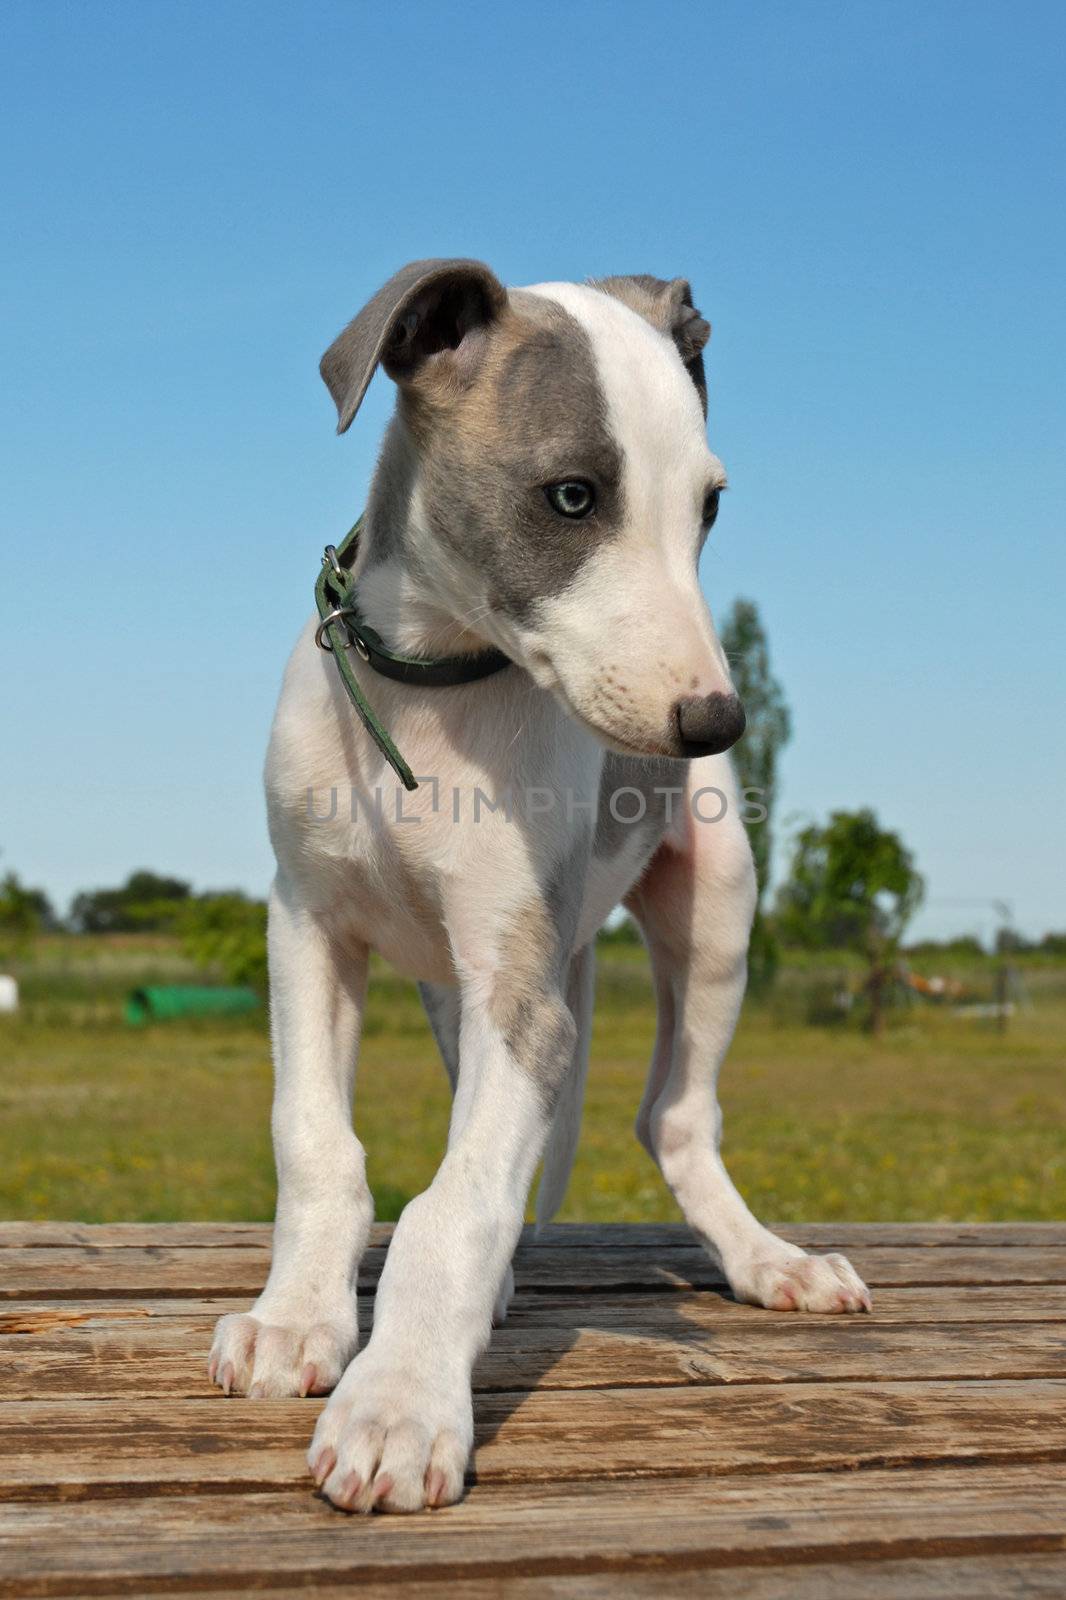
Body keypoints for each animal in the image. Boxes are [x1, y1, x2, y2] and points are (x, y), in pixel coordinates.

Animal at [209, 259, 870, 1510]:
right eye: (571, 497)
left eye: (709, 507)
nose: (715, 723)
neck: (427, 691)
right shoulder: (309, 924)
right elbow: (315, 1139)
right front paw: (294, 1321)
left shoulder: (522, 990)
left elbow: (454, 1202)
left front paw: (399, 1405)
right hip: (454, 986)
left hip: (714, 911)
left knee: (675, 1116)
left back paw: (770, 1259)